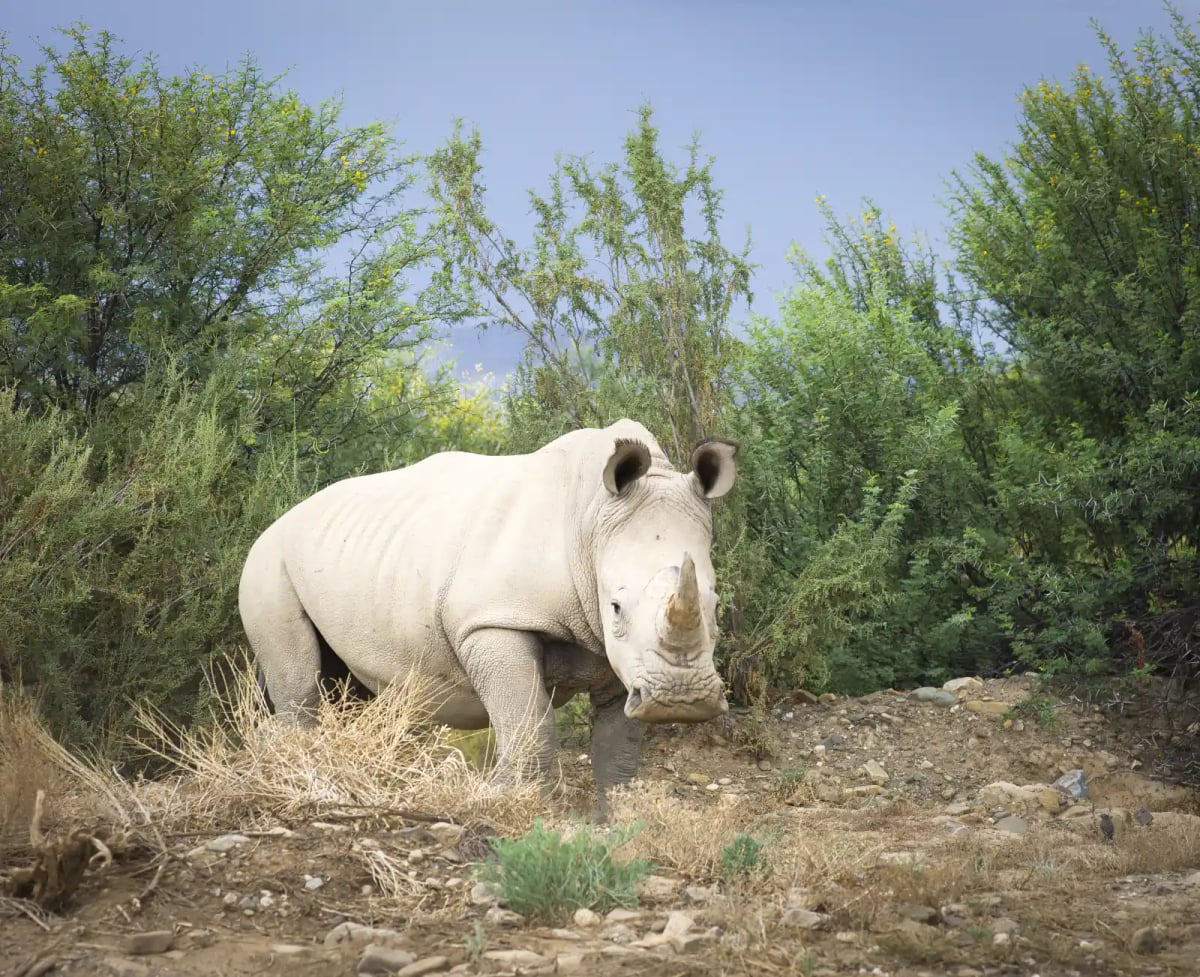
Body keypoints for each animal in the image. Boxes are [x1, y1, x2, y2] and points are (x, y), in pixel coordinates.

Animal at [237, 419, 737, 813]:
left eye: (716, 607)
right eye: (616, 607)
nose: (681, 700)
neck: (592, 524)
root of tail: (279, 518)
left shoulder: (622, 658)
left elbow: (618, 744)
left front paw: (616, 816)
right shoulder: (493, 620)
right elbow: (528, 721)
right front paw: (510, 801)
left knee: (346, 686)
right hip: (267, 562)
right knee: (300, 682)